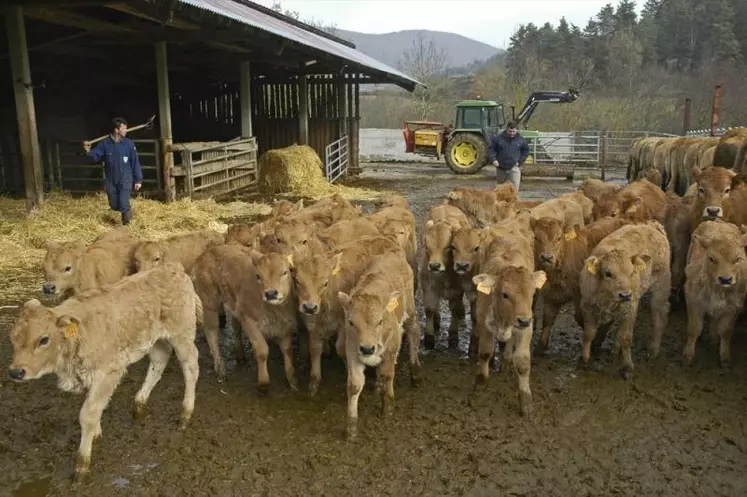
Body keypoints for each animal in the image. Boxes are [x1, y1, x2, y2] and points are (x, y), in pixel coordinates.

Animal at [7, 264, 200, 480]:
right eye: (12, 338)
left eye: (43, 339)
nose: (16, 372)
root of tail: (172, 269)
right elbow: (95, 407)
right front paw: (96, 434)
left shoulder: (110, 372)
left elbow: (88, 413)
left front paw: (82, 464)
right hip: (155, 339)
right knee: (160, 361)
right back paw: (139, 405)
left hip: (182, 335)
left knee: (191, 367)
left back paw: (185, 414)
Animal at [338, 252, 420, 438]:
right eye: (351, 322)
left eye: (380, 321)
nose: (368, 349)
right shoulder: (352, 349)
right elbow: (354, 384)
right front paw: (351, 427)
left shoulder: (392, 347)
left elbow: (387, 374)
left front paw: (387, 407)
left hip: (410, 310)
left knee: (414, 330)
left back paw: (415, 371)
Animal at [580, 219, 672, 378]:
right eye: (608, 273)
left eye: (632, 272)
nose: (626, 295)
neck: (606, 296)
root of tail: (653, 226)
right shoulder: (588, 307)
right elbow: (588, 334)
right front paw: (584, 359)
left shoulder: (630, 308)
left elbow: (626, 338)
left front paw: (628, 367)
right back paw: (615, 348)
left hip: (661, 286)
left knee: (660, 315)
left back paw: (653, 349)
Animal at [684, 220, 747, 364]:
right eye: (711, 258)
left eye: (737, 259)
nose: (725, 279)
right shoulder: (694, 301)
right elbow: (694, 328)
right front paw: (688, 354)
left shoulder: (734, 307)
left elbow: (725, 331)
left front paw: (724, 356)